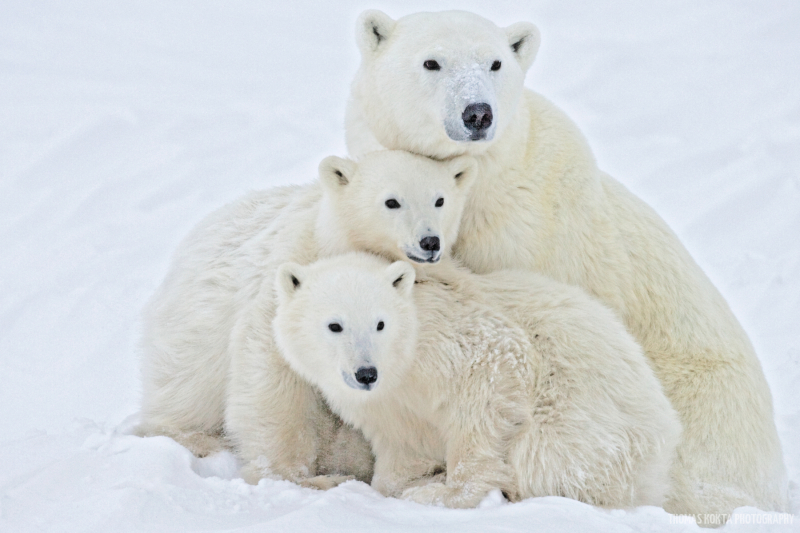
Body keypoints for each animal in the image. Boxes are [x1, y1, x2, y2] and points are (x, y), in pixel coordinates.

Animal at [346, 8, 784, 516]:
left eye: (495, 62)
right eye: (431, 62)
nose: (478, 113)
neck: (484, 188)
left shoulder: (533, 237)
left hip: (708, 409)